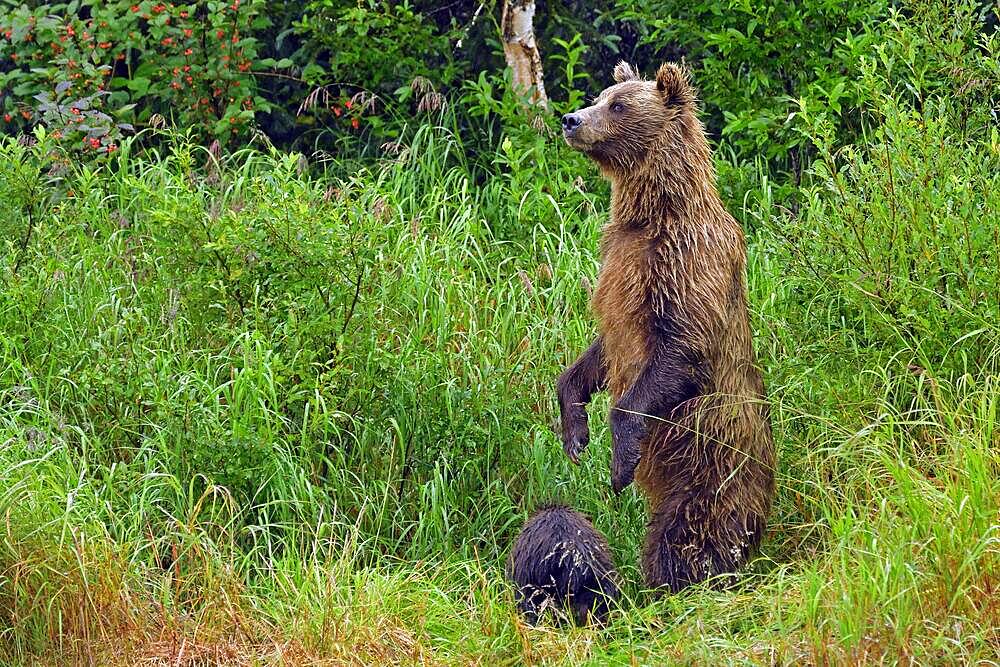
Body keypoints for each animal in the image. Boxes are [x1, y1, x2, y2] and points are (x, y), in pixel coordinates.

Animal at [556, 61, 772, 596]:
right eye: (599, 95)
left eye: (618, 105)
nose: (571, 119)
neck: (652, 212)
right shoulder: (618, 268)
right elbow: (598, 353)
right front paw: (575, 433)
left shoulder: (685, 261)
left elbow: (681, 348)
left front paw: (618, 465)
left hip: (709, 464)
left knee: (687, 536)